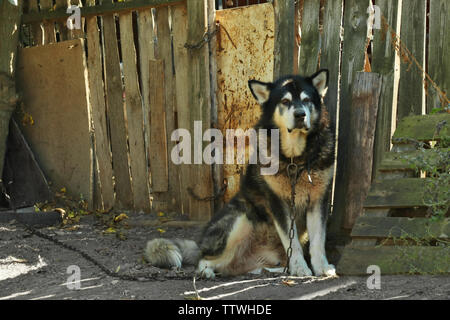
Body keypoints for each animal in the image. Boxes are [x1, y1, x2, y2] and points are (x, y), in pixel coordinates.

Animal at [146, 69, 336, 278]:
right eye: (285, 101)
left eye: (306, 99)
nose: (300, 114)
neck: (295, 158)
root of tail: (200, 243)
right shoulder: (278, 202)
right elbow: (292, 242)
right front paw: (300, 267)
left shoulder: (319, 200)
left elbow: (318, 241)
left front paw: (321, 267)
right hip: (242, 219)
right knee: (204, 259)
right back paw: (206, 272)